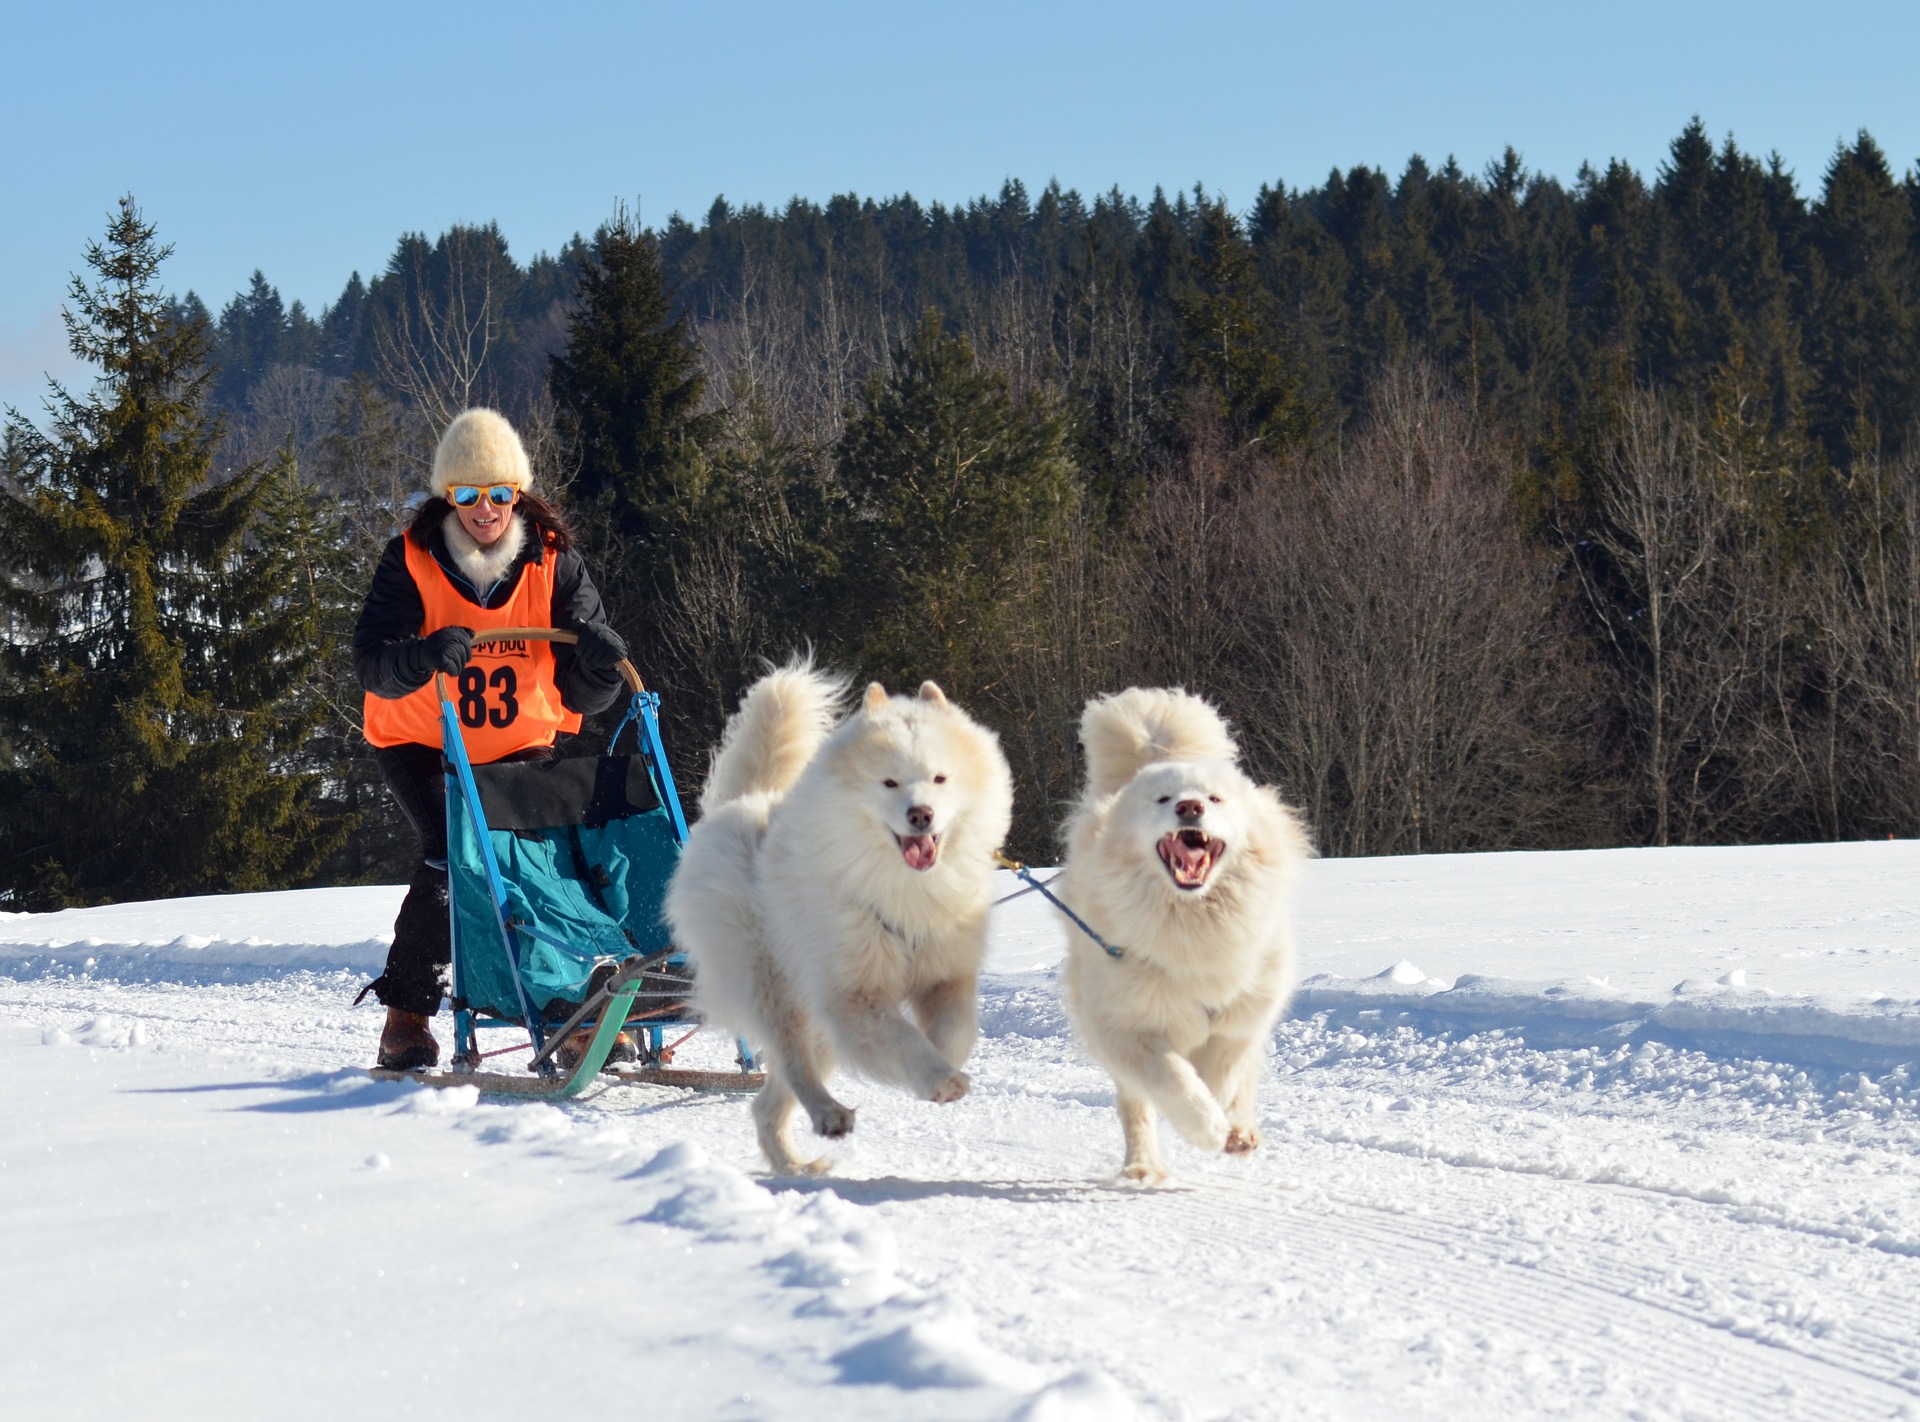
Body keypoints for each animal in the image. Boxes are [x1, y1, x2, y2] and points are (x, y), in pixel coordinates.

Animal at [664, 660, 1013, 1166]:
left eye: (940, 778)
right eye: (889, 782)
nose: (921, 815)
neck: (904, 887)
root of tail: (742, 803)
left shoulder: (945, 975)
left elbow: (955, 1033)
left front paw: (939, 1069)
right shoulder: (854, 994)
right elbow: (904, 1037)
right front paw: (938, 1078)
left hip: (814, 1017)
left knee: (767, 1103)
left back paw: (796, 1163)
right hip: (774, 986)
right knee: (793, 1063)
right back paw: (826, 1113)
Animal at [1052, 683, 1305, 1174]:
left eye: (1216, 798)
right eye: (1163, 800)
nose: (1190, 806)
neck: (1193, 921)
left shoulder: (1244, 1013)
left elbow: (1225, 1071)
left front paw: (1226, 1123)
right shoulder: (1126, 1026)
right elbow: (1173, 1080)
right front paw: (1205, 1127)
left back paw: (1240, 1133)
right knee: (1136, 1107)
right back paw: (1143, 1168)